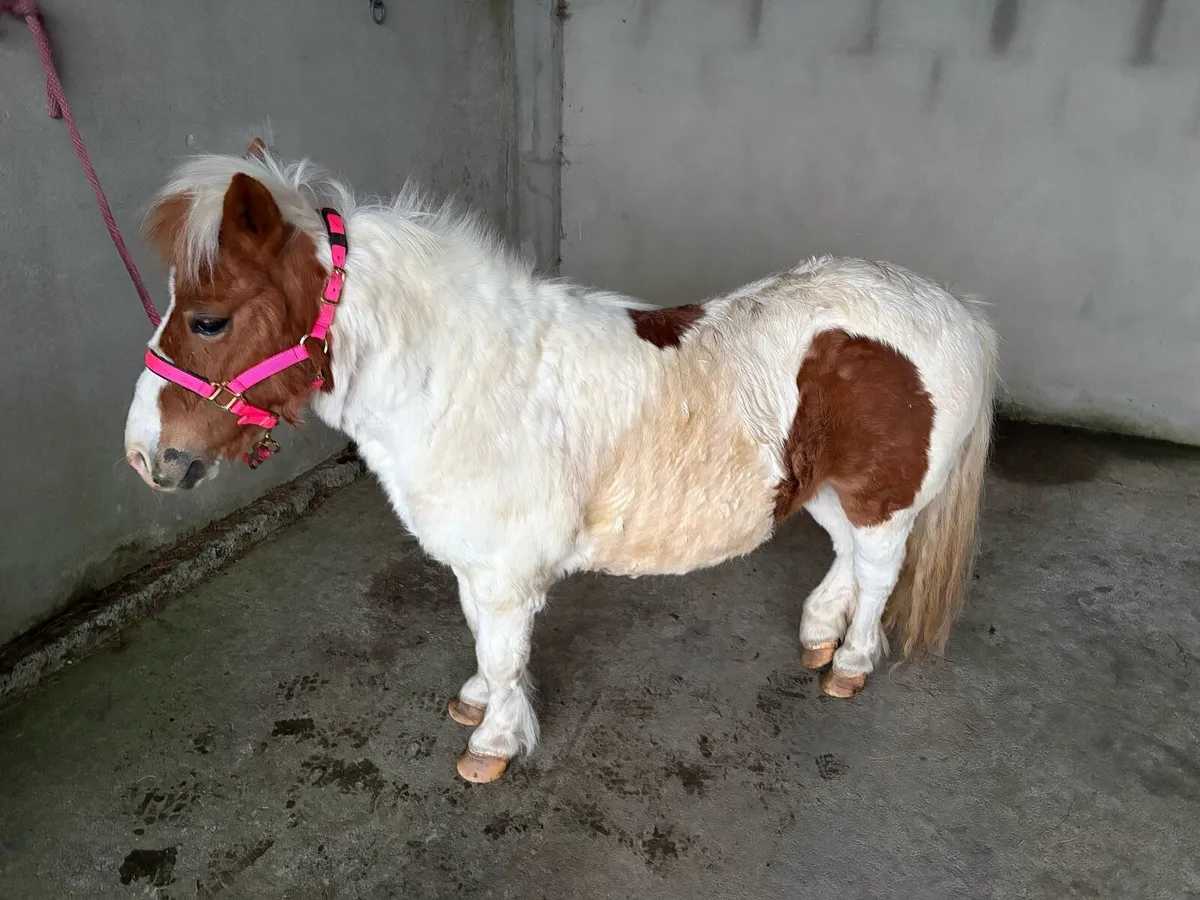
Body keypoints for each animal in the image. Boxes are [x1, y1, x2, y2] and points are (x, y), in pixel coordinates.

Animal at [123, 139, 998, 784]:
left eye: (207, 320)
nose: (144, 456)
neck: (464, 380)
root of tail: (952, 309)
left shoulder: (506, 571)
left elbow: (502, 649)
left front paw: (494, 745)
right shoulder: (475, 562)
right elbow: (480, 639)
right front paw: (479, 704)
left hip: (882, 500)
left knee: (879, 573)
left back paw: (848, 662)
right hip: (829, 490)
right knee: (850, 558)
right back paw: (821, 631)